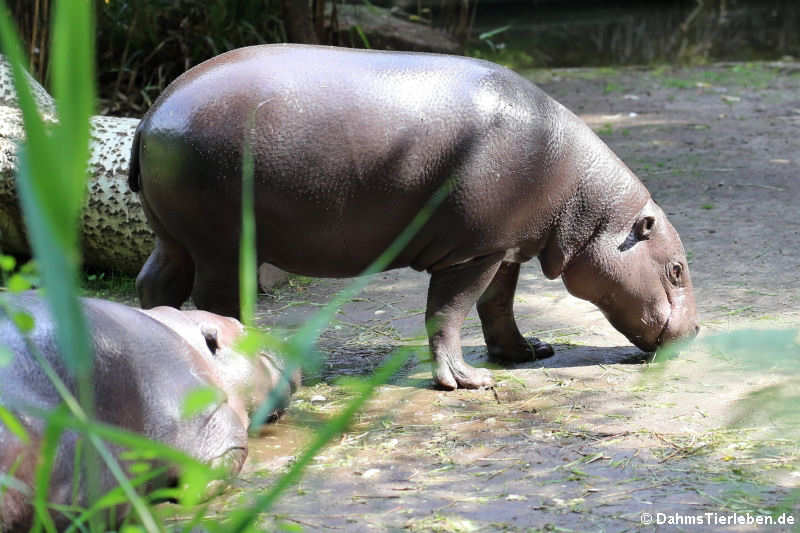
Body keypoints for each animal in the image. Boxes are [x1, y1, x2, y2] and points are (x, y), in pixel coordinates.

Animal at [128, 43, 696, 388]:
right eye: (676, 269)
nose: (694, 333)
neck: (591, 211)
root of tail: (154, 111)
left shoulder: (504, 248)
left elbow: (498, 307)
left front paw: (528, 352)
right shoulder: (472, 254)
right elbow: (448, 312)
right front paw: (467, 381)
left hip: (171, 235)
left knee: (154, 284)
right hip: (222, 245)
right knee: (217, 302)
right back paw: (264, 367)